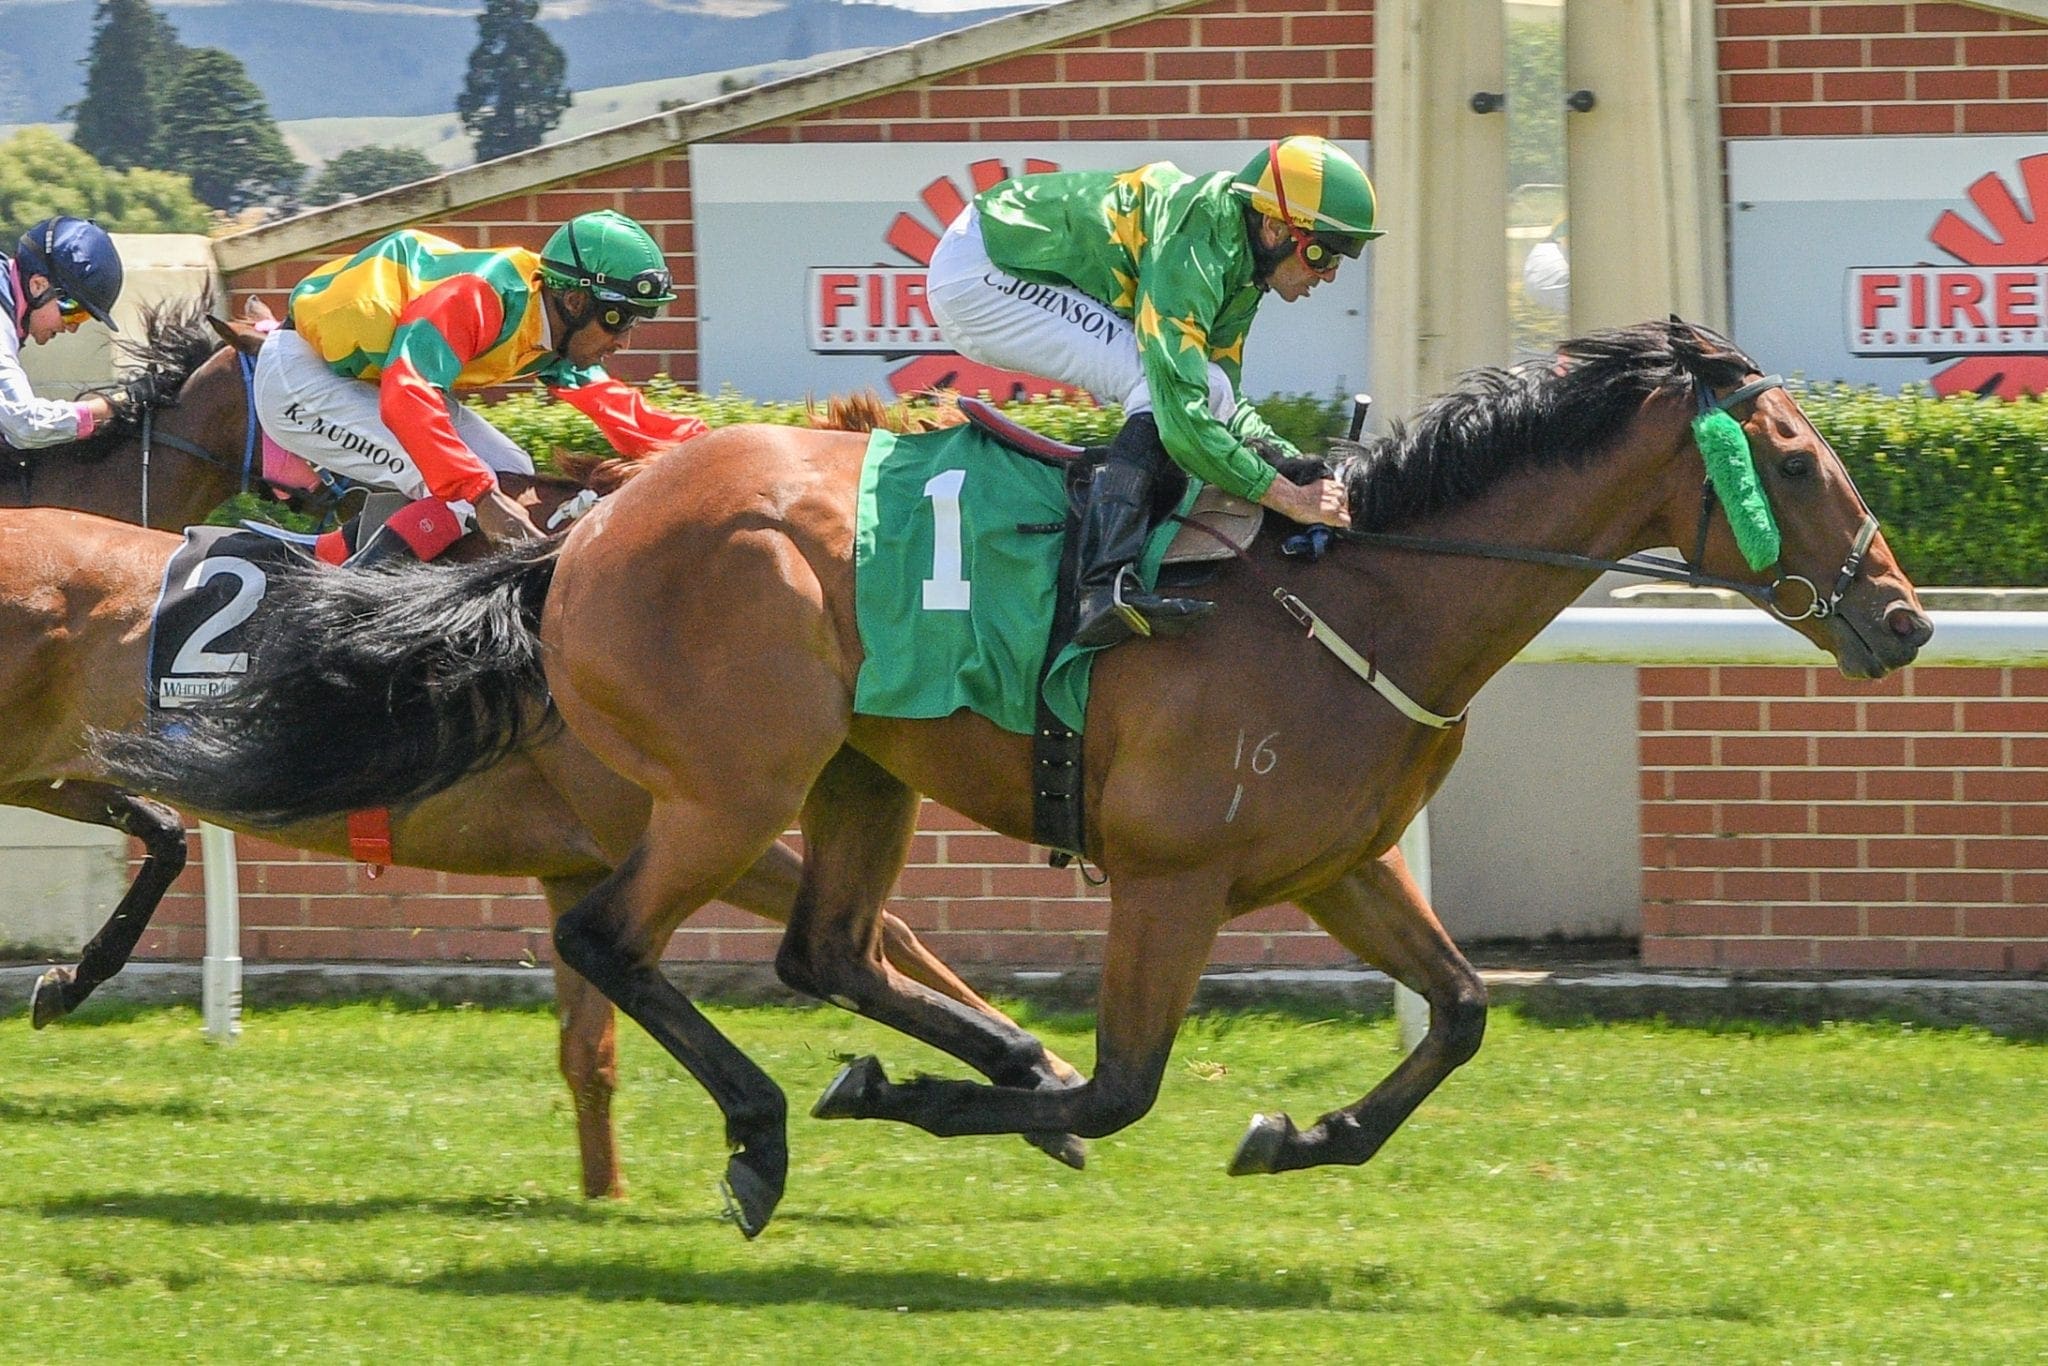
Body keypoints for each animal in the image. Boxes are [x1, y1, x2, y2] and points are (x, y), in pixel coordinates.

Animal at [92, 323, 1933, 1236]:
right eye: (1789, 460)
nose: (1905, 618)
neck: (1358, 586)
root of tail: (580, 530)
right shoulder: (1171, 874)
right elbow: (1123, 1086)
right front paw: (918, 1102)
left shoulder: (1340, 863)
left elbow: (1466, 1011)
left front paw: (1302, 1129)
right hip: (731, 786)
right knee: (612, 941)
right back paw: (773, 1128)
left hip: (853, 777)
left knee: (824, 949)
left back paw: (945, 1063)